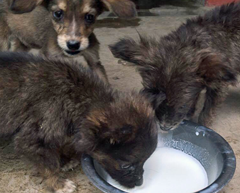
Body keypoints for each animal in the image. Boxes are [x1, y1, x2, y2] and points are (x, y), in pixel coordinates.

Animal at [0, 0, 137, 83]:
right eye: (58, 13)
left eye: (90, 17)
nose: (73, 45)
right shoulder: (48, 55)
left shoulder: (94, 60)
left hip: (23, 43)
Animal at [0, 52, 158, 192]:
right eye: (126, 166)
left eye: (145, 160)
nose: (140, 183)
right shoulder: (32, 139)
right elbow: (49, 165)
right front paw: (58, 184)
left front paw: (66, 160)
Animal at [109, 2, 240, 130]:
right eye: (152, 94)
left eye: (182, 105)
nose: (164, 127)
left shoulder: (219, 85)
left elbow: (207, 112)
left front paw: (204, 124)